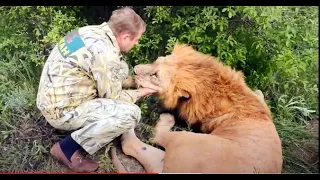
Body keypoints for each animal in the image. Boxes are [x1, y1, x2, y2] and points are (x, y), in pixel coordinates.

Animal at [112, 43, 282, 173]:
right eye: (155, 60)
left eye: (156, 76)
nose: (134, 69)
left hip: (190, 140)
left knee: (155, 137)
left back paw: (162, 119)